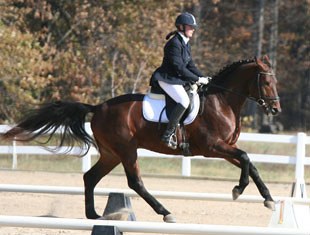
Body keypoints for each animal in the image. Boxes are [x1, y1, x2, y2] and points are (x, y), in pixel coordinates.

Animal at [1, 54, 280, 222]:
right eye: (267, 83)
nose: (276, 110)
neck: (221, 101)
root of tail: (98, 107)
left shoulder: (226, 147)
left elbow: (250, 163)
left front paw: (268, 199)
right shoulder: (213, 147)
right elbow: (246, 158)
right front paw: (238, 190)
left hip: (112, 154)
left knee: (90, 177)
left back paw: (94, 215)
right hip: (126, 150)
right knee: (135, 182)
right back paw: (165, 212)